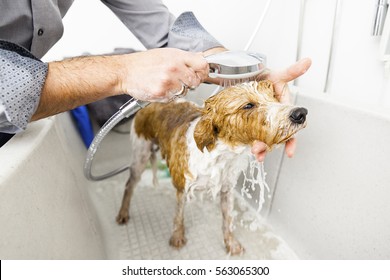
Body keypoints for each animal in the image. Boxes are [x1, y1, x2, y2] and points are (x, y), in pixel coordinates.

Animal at [116, 80, 308, 255]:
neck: (222, 154)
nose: (300, 113)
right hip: (140, 154)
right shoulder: (182, 186)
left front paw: (231, 243)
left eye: (274, 96)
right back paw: (123, 213)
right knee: (129, 184)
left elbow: (227, 219)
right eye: (248, 105)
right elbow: (179, 215)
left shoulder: (226, 189)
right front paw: (177, 237)